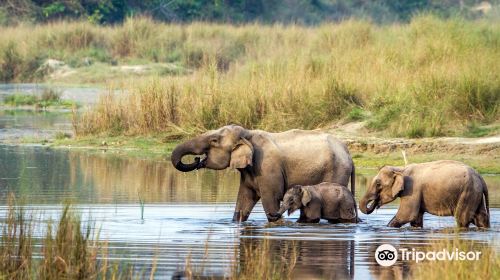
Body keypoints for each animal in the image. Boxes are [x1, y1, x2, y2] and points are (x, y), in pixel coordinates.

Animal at [171, 124, 356, 221]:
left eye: (214, 141)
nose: (197, 160)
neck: (248, 133)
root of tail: (348, 153)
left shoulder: (267, 168)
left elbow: (270, 200)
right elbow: (244, 201)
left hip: (337, 171)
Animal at [358, 160, 490, 228]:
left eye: (378, 184)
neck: (401, 169)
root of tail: (480, 178)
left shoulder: (412, 190)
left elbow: (406, 215)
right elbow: (415, 220)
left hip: (467, 193)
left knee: (462, 219)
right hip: (474, 194)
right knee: (480, 217)